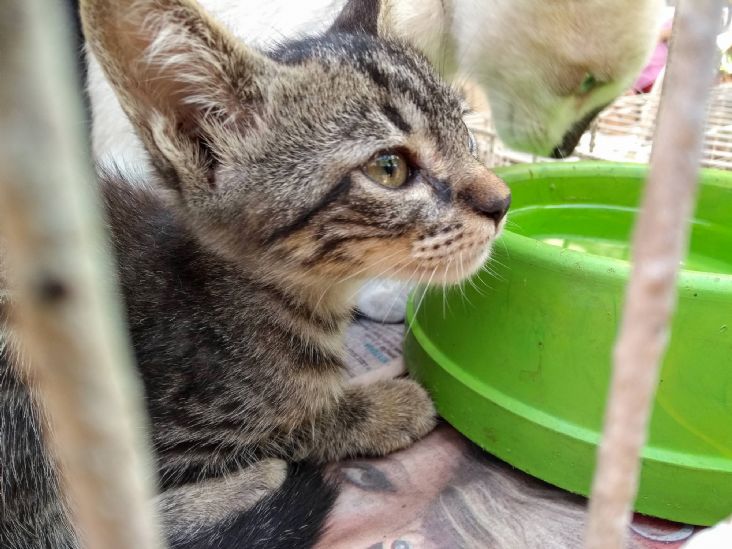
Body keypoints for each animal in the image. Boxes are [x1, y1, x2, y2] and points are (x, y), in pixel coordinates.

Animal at [0, 0, 508, 544]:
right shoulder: (161, 436)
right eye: (389, 168)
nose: (503, 201)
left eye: (465, 132)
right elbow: (294, 426)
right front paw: (382, 406)